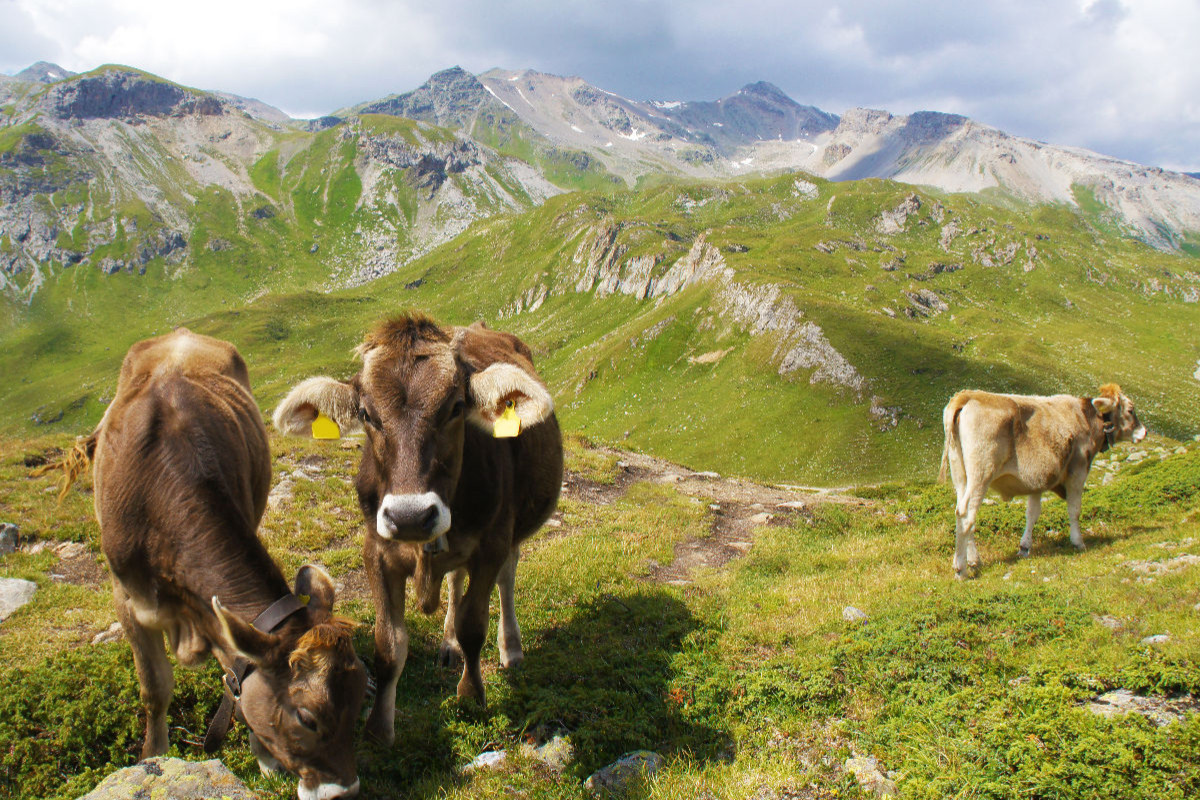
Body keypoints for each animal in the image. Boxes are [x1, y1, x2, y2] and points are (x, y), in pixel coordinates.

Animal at [55, 331, 364, 800]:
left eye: (360, 697)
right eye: (308, 718)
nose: (344, 791)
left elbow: (235, 670)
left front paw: (263, 754)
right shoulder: (126, 597)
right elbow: (154, 688)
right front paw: (152, 758)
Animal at [274, 311, 564, 743]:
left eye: (456, 406)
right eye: (366, 414)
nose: (410, 516)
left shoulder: (491, 544)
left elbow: (473, 625)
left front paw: (471, 693)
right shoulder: (376, 550)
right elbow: (389, 644)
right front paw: (379, 727)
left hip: (512, 530)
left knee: (506, 579)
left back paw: (510, 648)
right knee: (455, 580)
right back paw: (448, 645)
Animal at [936, 383, 1142, 578]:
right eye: (1131, 410)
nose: (1143, 432)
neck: (1086, 417)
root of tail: (968, 395)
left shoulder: (1037, 481)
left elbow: (1032, 513)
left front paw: (1024, 547)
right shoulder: (1078, 471)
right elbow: (1074, 510)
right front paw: (1078, 542)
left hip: (960, 475)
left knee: (962, 513)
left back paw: (974, 560)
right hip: (981, 474)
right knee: (966, 513)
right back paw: (961, 569)